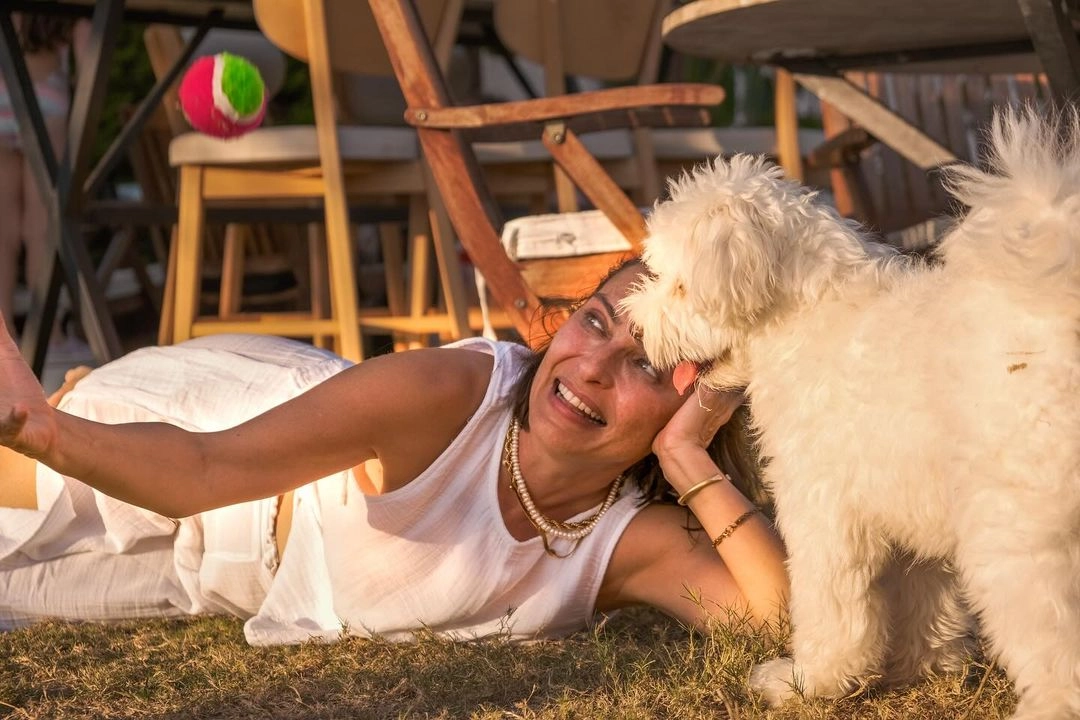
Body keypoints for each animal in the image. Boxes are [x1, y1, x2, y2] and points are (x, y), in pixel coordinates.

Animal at [621, 109, 1080, 720]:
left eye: (677, 286)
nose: (633, 328)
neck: (807, 316)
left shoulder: (822, 508)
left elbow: (831, 608)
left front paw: (806, 681)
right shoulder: (904, 498)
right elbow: (925, 594)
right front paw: (923, 665)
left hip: (1019, 531)